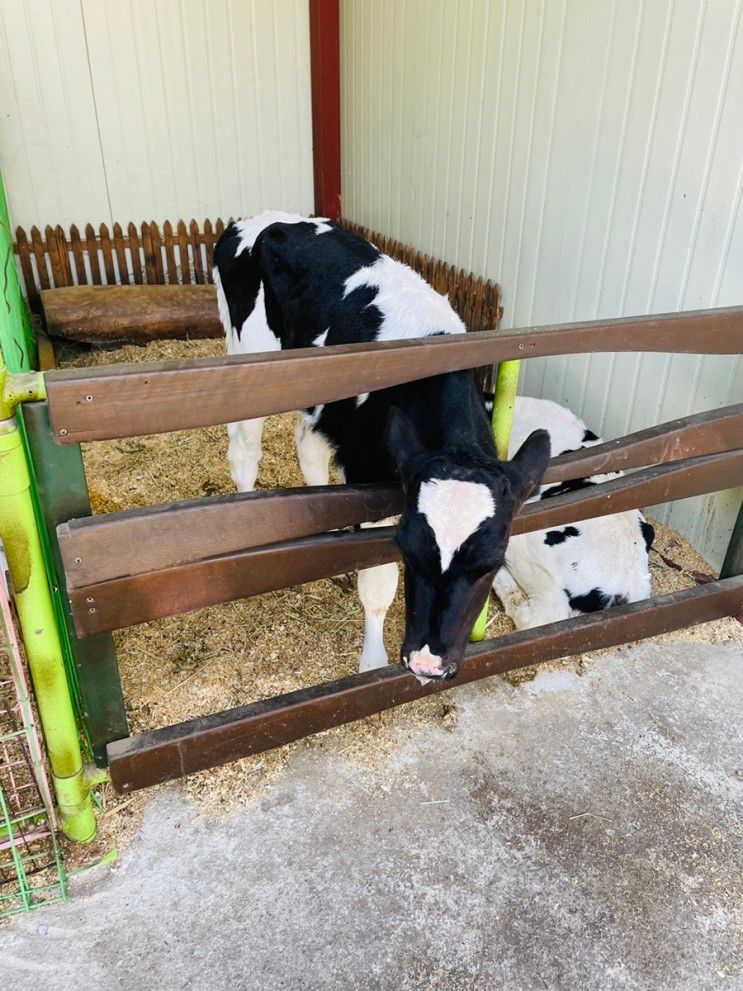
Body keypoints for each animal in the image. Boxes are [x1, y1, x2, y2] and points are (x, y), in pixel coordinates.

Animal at [214, 212, 652, 680]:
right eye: (410, 550)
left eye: (490, 562)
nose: (429, 663)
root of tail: (253, 221)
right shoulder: (371, 486)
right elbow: (379, 586)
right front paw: (373, 663)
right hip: (250, 367)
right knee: (244, 452)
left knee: (307, 446)